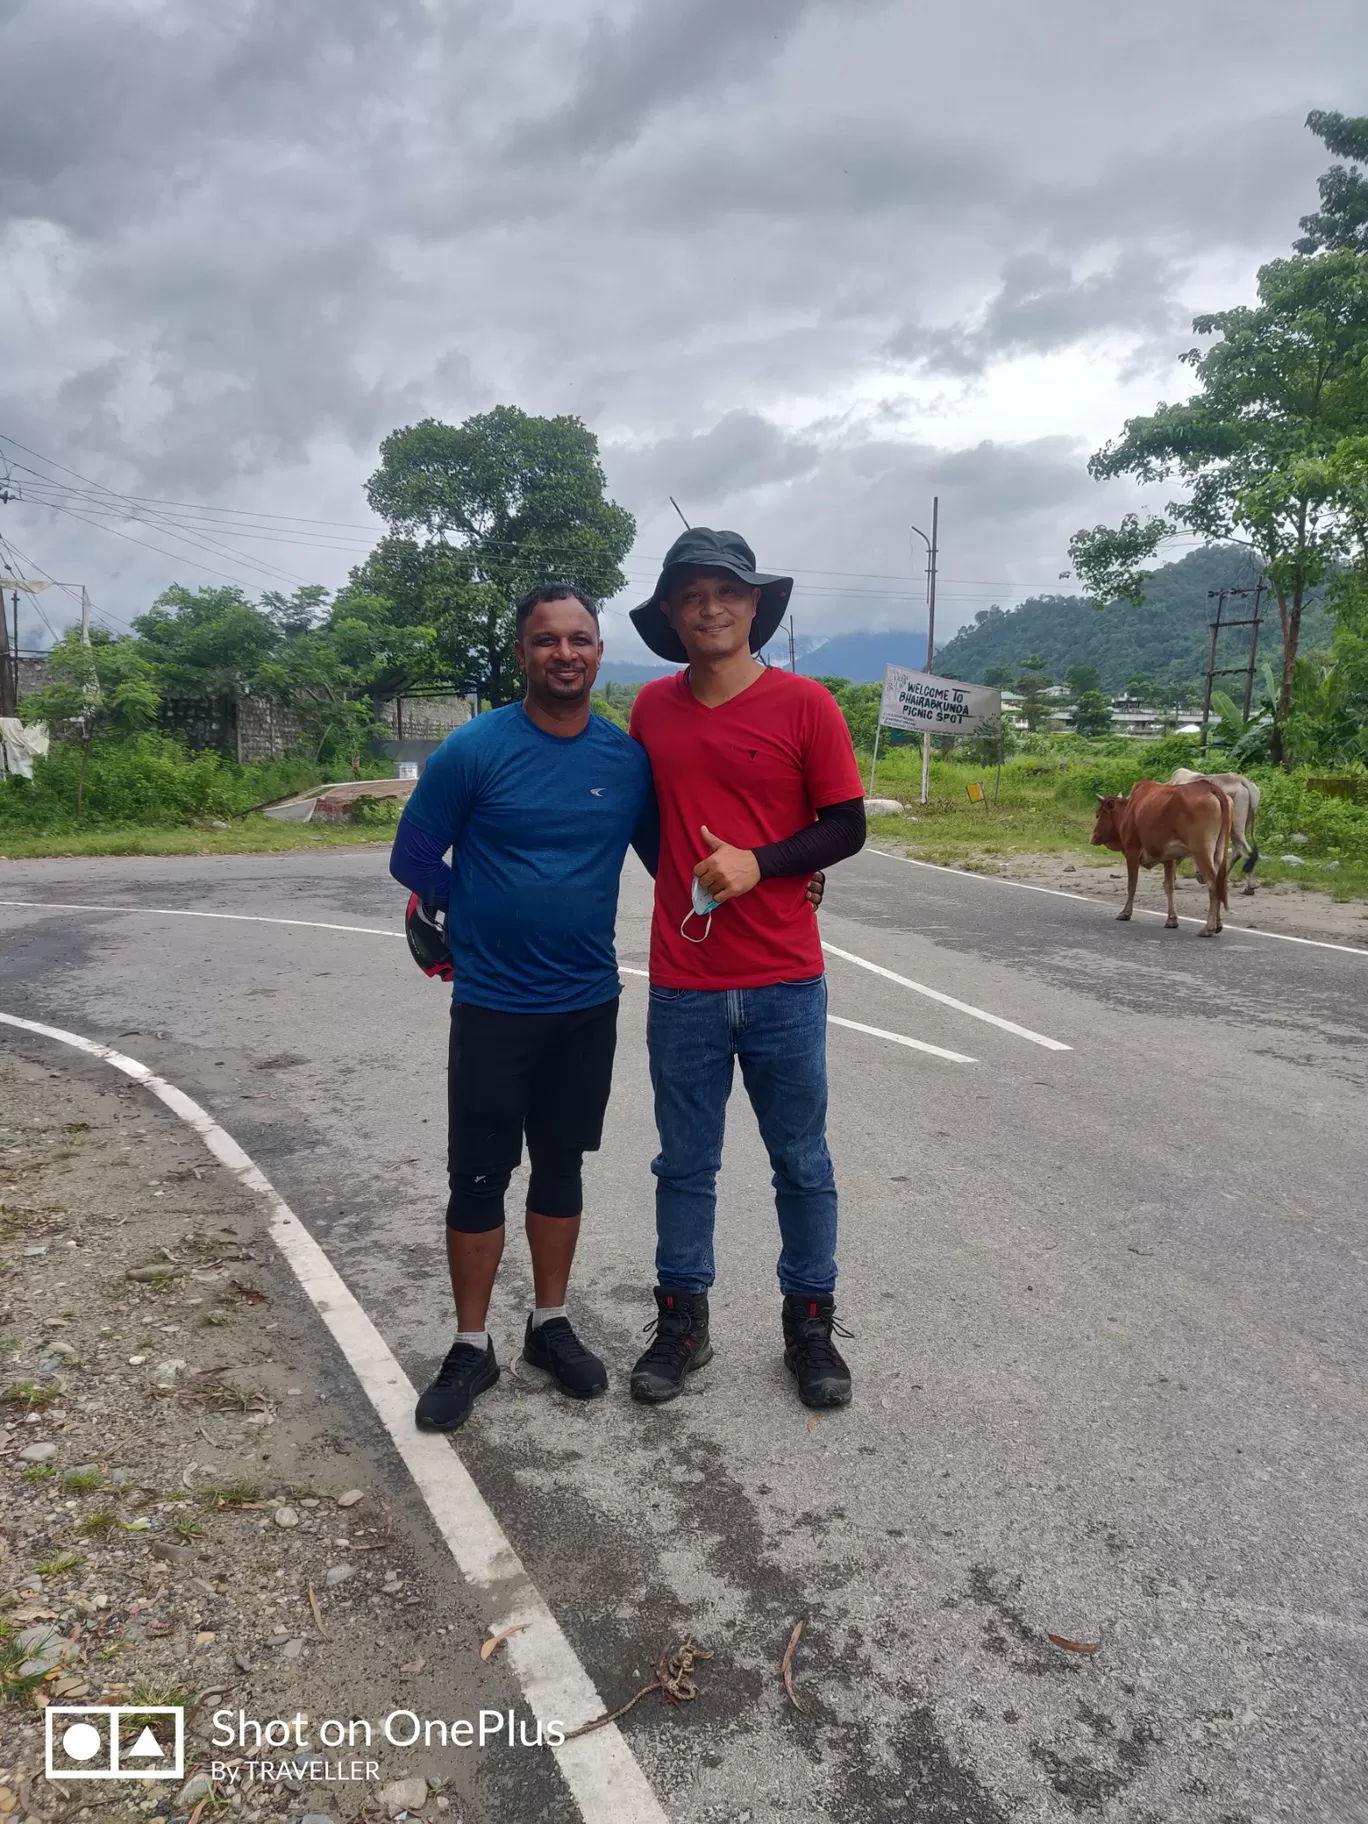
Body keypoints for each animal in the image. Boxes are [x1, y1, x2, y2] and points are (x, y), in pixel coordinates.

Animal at [1101, 773, 1240, 933]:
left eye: (1098, 814)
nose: (1093, 838)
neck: (1131, 808)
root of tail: (1211, 788)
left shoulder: (1132, 852)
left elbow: (1132, 884)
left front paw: (1125, 913)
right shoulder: (1169, 858)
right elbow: (1169, 887)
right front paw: (1172, 920)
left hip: (1201, 851)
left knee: (1212, 883)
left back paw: (1208, 928)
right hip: (1218, 852)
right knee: (1220, 883)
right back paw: (1217, 924)